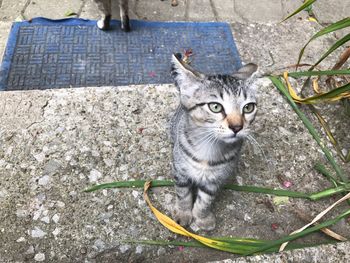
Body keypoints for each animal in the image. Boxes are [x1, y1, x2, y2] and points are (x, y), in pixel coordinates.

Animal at [170, 54, 258, 232]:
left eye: (248, 108)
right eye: (215, 107)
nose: (237, 127)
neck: (208, 150)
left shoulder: (215, 181)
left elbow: (205, 201)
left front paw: (201, 218)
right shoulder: (180, 171)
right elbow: (182, 194)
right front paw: (183, 213)